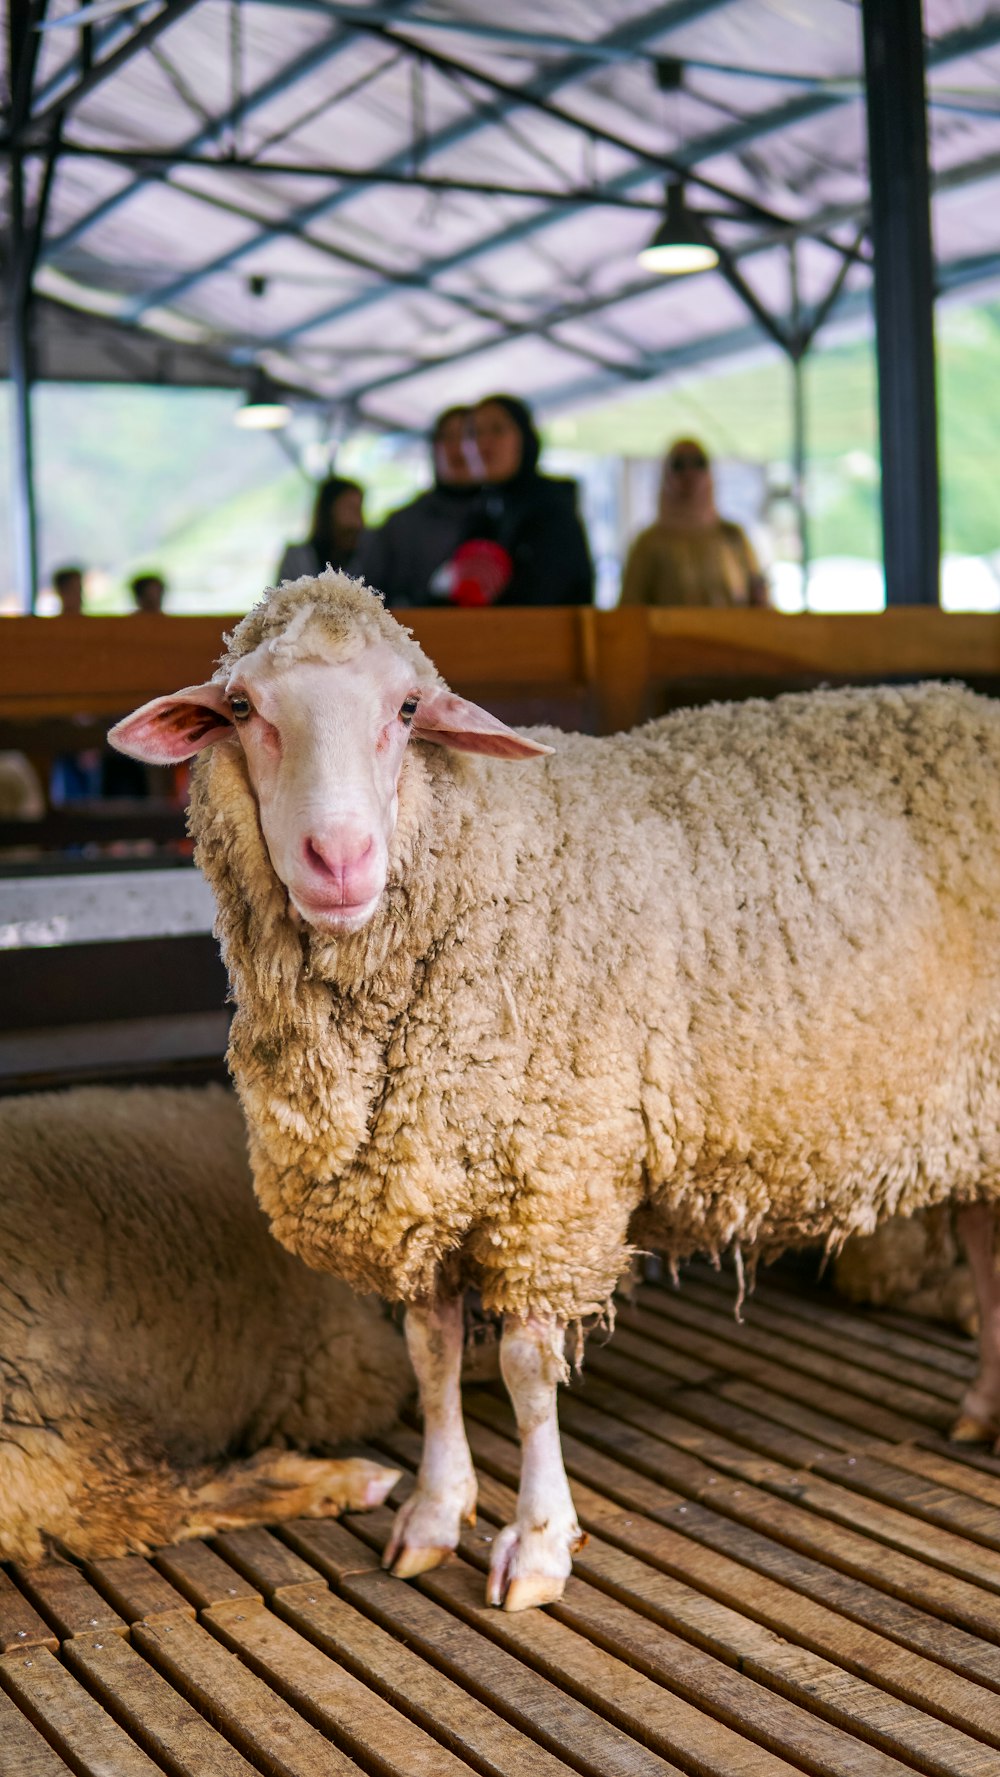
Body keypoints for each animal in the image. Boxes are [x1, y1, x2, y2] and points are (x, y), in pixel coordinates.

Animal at [113, 568, 1000, 1613]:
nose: (339, 860)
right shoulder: (427, 1181)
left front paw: (537, 1545)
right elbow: (432, 1353)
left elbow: (527, 1370)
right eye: (245, 707)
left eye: (407, 710)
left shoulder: (552, 1186)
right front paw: (433, 1515)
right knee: (985, 1244)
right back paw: (983, 1406)